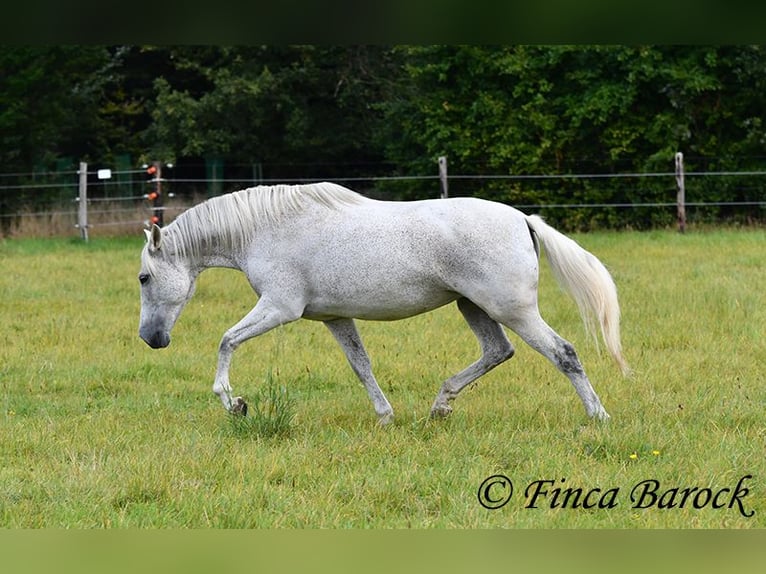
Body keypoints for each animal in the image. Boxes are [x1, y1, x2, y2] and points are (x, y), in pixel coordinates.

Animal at [138, 182, 632, 426]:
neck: (266, 227)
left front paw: (234, 404)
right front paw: (385, 417)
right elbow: (362, 367)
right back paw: (440, 407)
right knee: (497, 351)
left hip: (513, 310)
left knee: (564, 353)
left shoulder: (280, 308)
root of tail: (522, 219)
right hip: (472, 307)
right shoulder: (335, 317)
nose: (150, 338)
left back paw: (599, 417)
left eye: (144, 277)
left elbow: (226, 341)